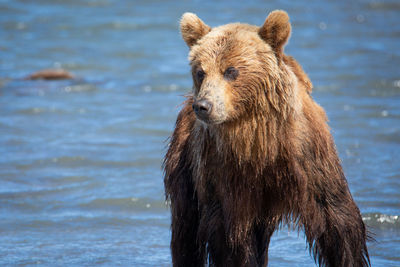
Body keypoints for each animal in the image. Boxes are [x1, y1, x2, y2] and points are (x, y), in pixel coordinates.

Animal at [164, 9, 370, 267]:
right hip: (186, 165)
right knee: (186, 227)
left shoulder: (308, 155)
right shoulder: (226, 173)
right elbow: (232, 234)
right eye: (200, 72)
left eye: (230, 70)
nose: (203, 106)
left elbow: (337, 219)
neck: (260, 136)